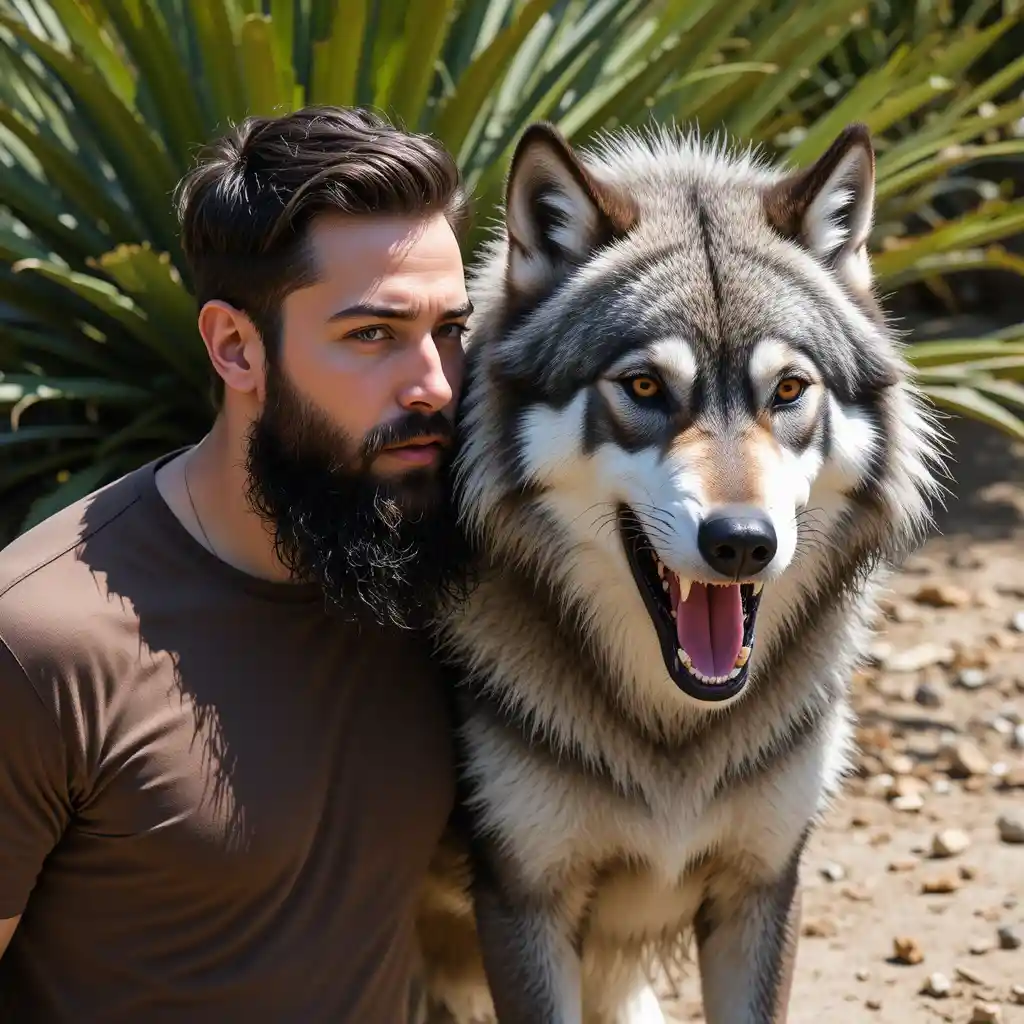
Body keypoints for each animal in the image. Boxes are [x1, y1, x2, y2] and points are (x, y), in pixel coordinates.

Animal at [414, 119, 945, 1024]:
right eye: (643, 386)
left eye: (790, 389)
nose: (742, 542)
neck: (675, 737)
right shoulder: (524, 906)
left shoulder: (761, 888)